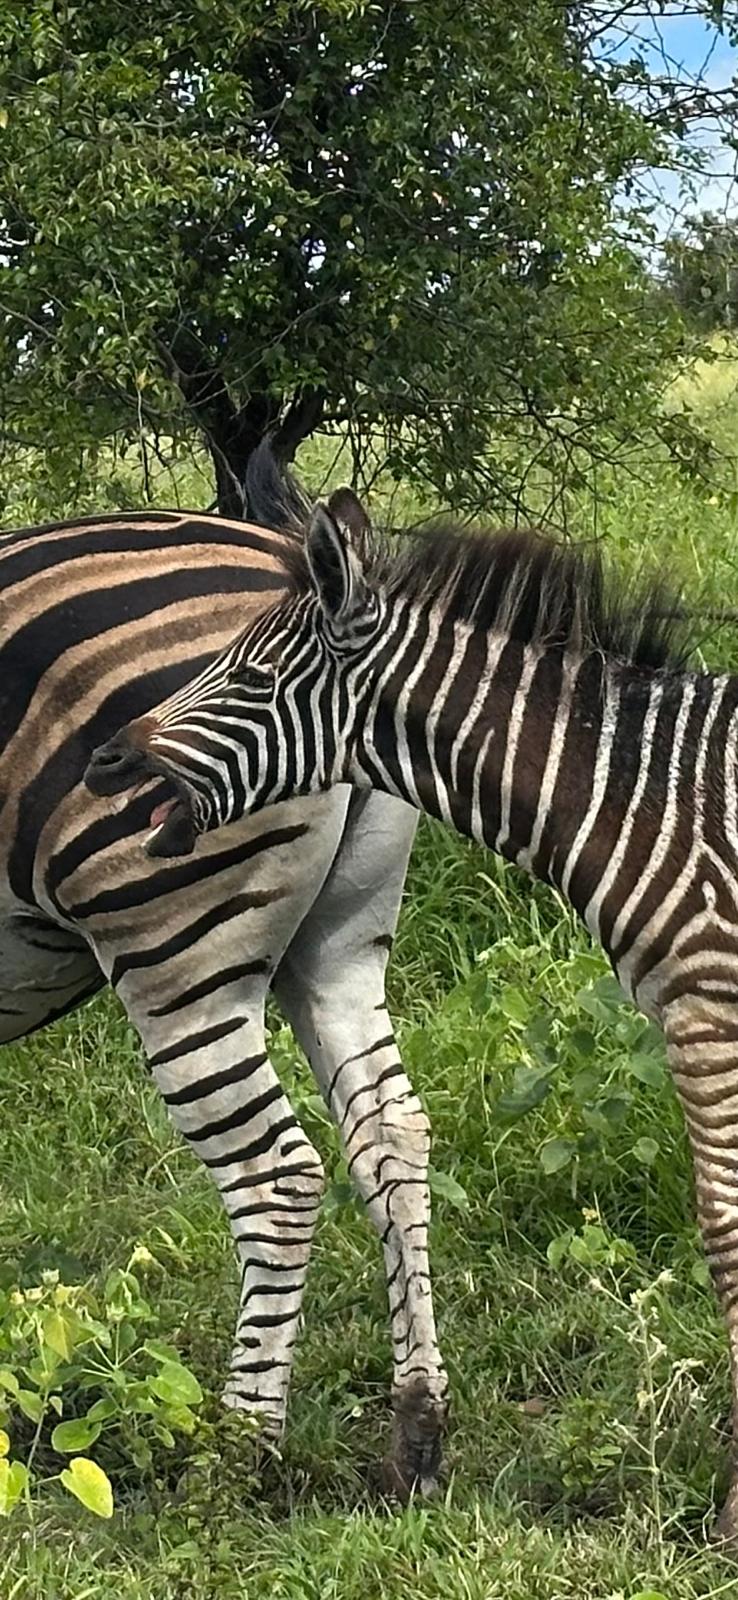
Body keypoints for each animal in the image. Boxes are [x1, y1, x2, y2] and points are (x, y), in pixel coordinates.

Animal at [0, 492, 448, 1497]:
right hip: (338, 945)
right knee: (391, 1136)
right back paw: (418, 1433)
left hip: (176, 952)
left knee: (276, 1176)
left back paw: (239, 1450)